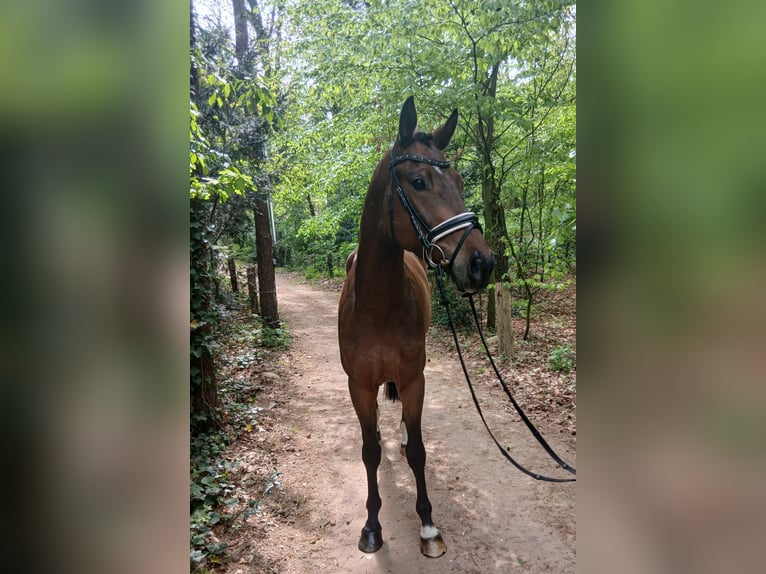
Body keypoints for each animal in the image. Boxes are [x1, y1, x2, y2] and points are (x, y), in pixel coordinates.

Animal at [338, 96, 494, 558]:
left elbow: (421, 453)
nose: (481, 264)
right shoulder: (358, 385)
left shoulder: (414, 380)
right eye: (419, 181)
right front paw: (372, 525)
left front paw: (427, 526)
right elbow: (370, 452)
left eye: (458, 180)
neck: (378, 308)